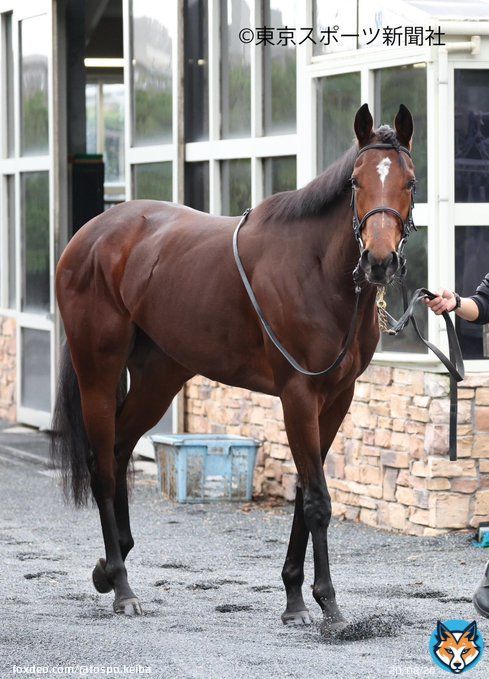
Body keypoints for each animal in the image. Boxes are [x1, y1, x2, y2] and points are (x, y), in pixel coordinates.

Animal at [51, 103, 417, 634]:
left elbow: (304, 494)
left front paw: (294, 598)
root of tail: (89, 236)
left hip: (159, 377)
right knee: (102, 466)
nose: (380, 260)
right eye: (355, 181)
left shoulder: (336, 399)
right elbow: (317, 500)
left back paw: (109, 563)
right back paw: (121, 587)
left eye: (410, 181)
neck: (316, 269)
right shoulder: (297, 395)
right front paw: (326, 603)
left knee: (119, 450)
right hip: (97, 371)